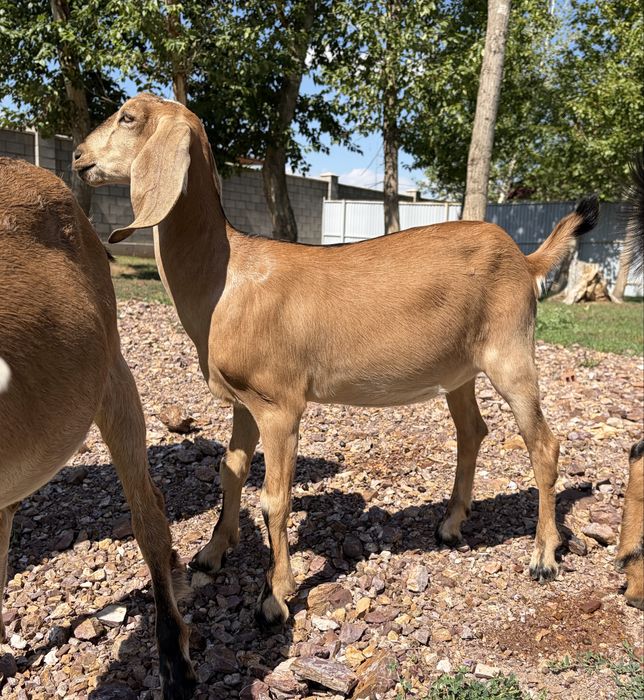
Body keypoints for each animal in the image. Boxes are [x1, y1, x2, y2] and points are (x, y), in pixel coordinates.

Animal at [74, 94, 599, 626]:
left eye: (128, 117)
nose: (78, 156)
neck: (226, 278)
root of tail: (526, 261)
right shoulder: (243, 402)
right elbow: (231, 470)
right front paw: (212, 553)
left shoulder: (279, 405)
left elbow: (274, 499)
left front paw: (275, 596)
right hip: (459, 370)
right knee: (472, 430)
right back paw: (450, 525)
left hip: (511, 352)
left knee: (544, 445)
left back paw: (543, 556)